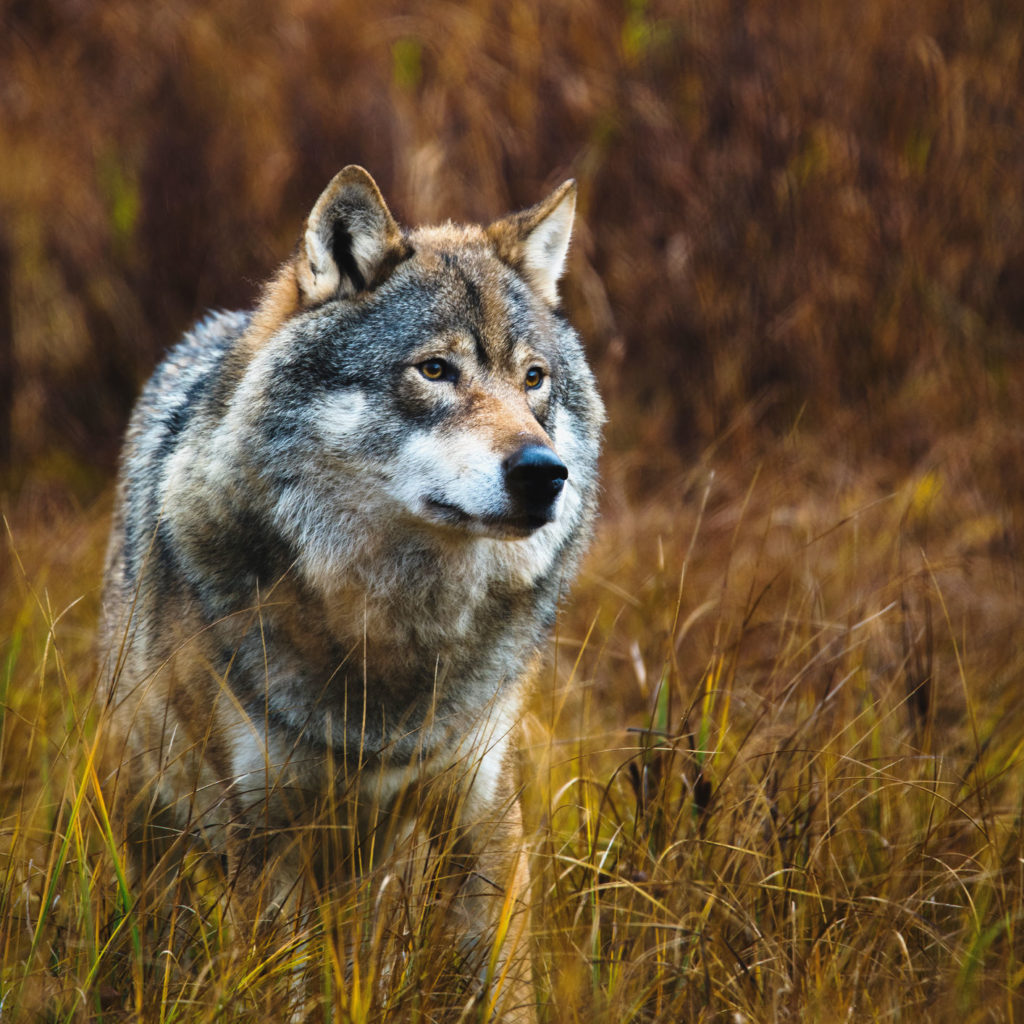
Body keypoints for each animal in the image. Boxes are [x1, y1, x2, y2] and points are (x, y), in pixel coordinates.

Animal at [99, 166, 603, 1020]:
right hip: (152, 824)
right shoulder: (267, 843)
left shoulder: (483, 813)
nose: (544, 473)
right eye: (435, 370)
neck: (394, 633)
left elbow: (504, 987)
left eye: (534, 379)